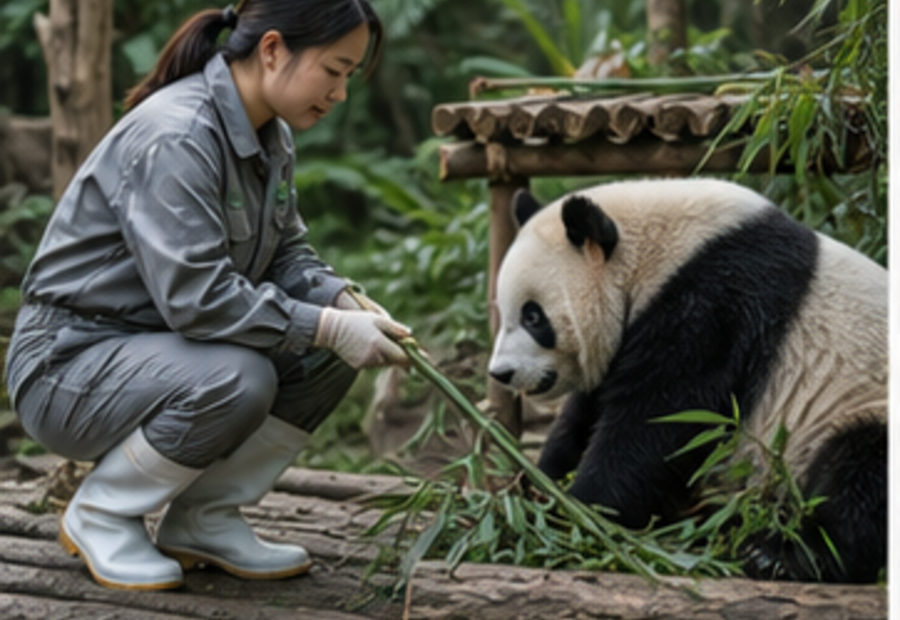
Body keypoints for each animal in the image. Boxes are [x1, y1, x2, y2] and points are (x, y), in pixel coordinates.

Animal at [487, 178, 886, 583]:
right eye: (504, 312)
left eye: (533, 317)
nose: (500, 373)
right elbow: (584, 416)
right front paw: (537, 492)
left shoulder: (715, 305)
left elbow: (660, 421)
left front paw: (581, 515)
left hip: (854, 404)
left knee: (859, 480)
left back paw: (779, 555)